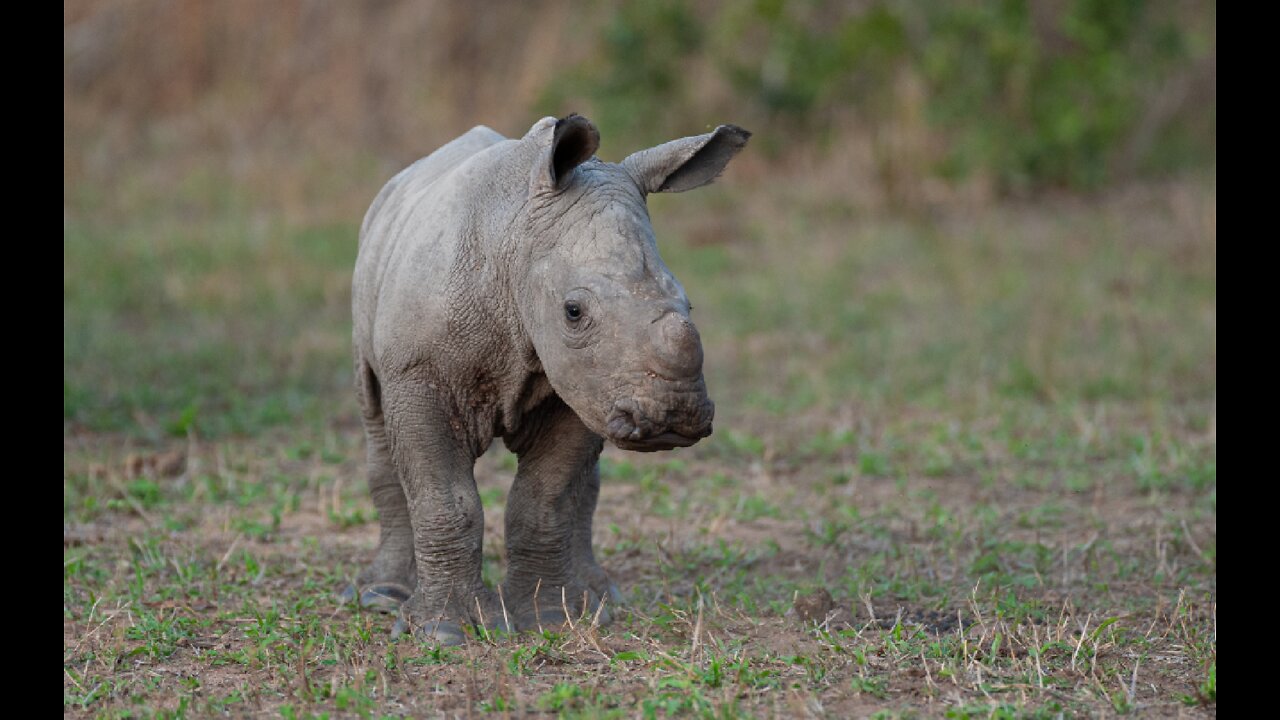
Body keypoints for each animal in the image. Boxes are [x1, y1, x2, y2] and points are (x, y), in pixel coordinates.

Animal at [348, 114, 747, 640]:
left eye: (689, 305)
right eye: (573, 312)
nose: (673, 417)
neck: (516, 244)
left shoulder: (585, 385)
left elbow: (545, 500)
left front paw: (550, 618)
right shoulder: (417, 374)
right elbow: (444, 500)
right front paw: (445, 632)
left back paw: (600, 597)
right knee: (374, 421)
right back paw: (380, 596)